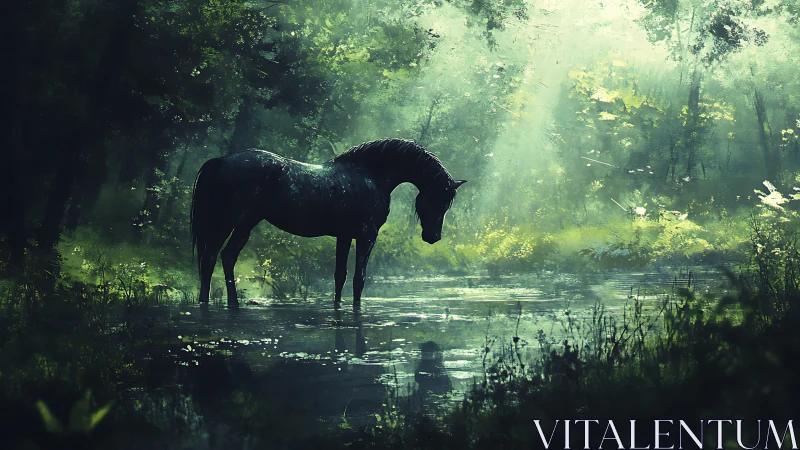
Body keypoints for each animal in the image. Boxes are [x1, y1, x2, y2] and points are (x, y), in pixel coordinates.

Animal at [190, 138, 466, 308]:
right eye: (439, 201)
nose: (433, 237)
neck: (370, 174)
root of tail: (223, 161)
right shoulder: (366, 236)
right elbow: (358, 279)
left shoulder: (344, 236)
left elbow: (339, 275)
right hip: (235, 222)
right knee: (219, 257)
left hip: (236, 223)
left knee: (218, 257)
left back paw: (216, 301)